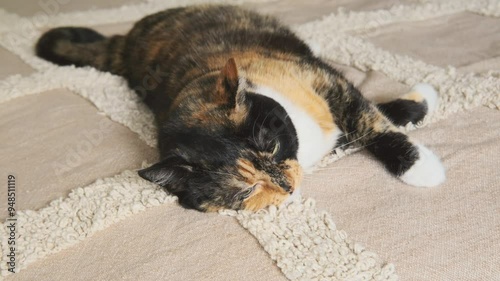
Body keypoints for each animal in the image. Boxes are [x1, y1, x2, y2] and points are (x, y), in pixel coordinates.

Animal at [37, 4, 448, 211]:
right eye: (246, 190)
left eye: (272, 145)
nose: (287, 187)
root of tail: (124, 44)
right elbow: (363, 124)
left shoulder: (319, 79)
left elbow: (368, 120)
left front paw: (420, 156)